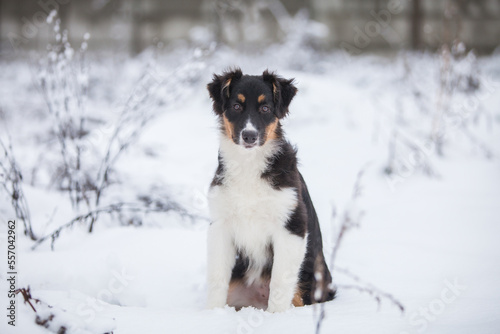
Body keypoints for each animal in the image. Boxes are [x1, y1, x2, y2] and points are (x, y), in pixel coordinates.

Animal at [207, 68, 336, 314]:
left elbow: (279, 282)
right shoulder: (221, 225)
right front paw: (212, 314)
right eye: (236, 106)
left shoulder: (291, 225)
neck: (249, 164)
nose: (249, 136)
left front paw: (276, 317)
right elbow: (217, 278)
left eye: (265, 108)